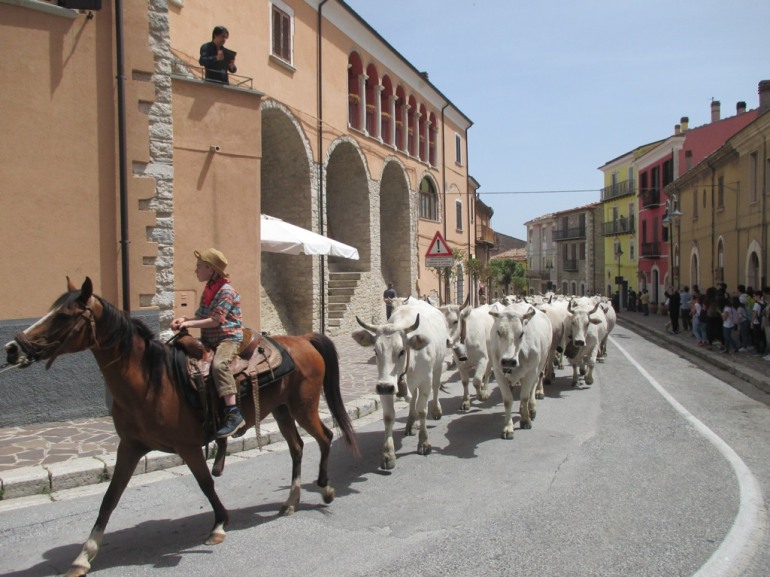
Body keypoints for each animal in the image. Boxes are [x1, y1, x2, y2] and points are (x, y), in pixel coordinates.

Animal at [3, 276, 360, 572]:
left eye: (64, 315)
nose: (12, 348)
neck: (152, 381)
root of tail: (304, 339)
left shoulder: (187, 447)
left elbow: (206, 484)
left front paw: (219, 525)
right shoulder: (129, 447)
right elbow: (110, 498)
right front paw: (83, 555)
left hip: (303, 408)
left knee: (325, 437)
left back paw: (325, 488)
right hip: (283, 410)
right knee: (297, 448)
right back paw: (290, 502)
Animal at [352, 302, 448, 468]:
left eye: (402, 351)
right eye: (375, 351)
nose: (384, 387)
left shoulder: (425, 381)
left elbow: (422, 410)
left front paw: (424, 443)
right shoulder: (385, 385)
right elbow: (389, 417)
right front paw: (388, 454)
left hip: (438, 366)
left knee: (435, 388)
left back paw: (436, 411)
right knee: (412, 398)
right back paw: (410, 424)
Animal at [488, 302, 548, 436]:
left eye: (521, 333)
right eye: (498, 332)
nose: (508, 361)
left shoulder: (531, 371)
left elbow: (525, 396)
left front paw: (526, 420)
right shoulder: (499, 373)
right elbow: (507, 400)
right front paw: (508, 427)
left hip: (540, 365)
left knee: (532, 387)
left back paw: (531, 409)